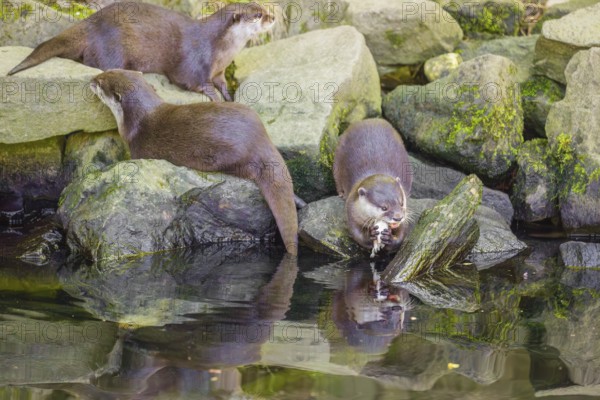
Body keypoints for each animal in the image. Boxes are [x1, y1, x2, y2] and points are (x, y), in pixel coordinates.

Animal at [7, 2, 274, 101]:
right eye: (258, 15)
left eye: (263, 8)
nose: (273, 17)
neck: (219, 49)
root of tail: (90, 24)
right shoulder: (194, 61)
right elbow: (190, 81)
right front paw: (213, 96)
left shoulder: (218, 70)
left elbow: (221, 83)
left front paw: (228, 95)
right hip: (112, 47)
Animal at [91, 69, 298, 255]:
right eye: (108, 70)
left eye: (101, 82)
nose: (92, 79)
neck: (140, 118)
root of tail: (260, 140)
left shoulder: (137, 149)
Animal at [332, 119, 412, 255]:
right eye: (384, 207)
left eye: (401, 203)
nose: (398, 217)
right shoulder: (351, 208)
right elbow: (356, 233)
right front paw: (371, 236)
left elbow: (402, 234)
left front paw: (390, 238)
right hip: (337, 156)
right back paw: (341, 193)